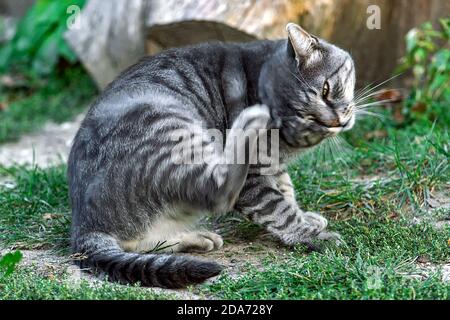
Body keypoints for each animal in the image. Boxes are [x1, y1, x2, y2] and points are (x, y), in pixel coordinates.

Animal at [67, 22, 356, 288]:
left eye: (326, 89)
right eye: (300, 117)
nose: (335, 122)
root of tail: (84, 225)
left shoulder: (275, 166)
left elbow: (286, 190)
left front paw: (305, 217)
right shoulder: (255, 177)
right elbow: (278, 208)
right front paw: (310, 235)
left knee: (138, 242)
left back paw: (195, 238)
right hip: (171, 129)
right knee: (217, 189)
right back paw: (246, 125)